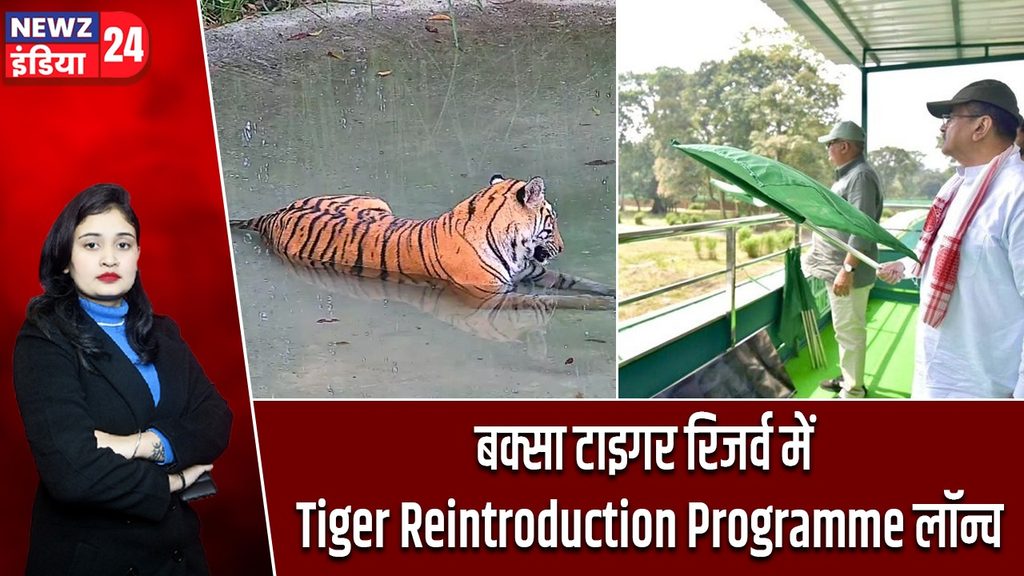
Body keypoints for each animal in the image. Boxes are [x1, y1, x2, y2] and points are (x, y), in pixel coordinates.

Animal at [230, 175, 614, 298]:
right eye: (552, 221)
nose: (562, 246)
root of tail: (276, 213)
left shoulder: (534, 272)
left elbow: (584, 284)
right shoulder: (493, 294)